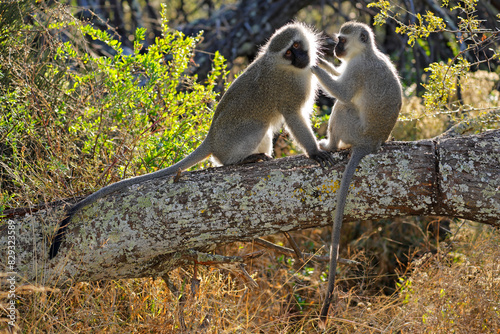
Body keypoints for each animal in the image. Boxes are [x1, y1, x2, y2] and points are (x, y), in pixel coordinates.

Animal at [48, 22, 334, 258]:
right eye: (289, 53)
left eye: (296, 46)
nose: (301, 58)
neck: (287, 68)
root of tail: (211, 140)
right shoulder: (289, 91)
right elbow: (293, 117)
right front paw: (314, 151)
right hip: (234, 139)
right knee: (251, 134)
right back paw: (239, 161)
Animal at [312, 21, 402, 320]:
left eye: (342, 40)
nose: (336, 50)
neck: (365, 52)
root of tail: (371, 142)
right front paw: (319, 60)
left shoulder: (358, 69)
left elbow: (343, 93)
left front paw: (313, 66)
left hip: (354, 129)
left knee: (343, 106)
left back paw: (330, 144)